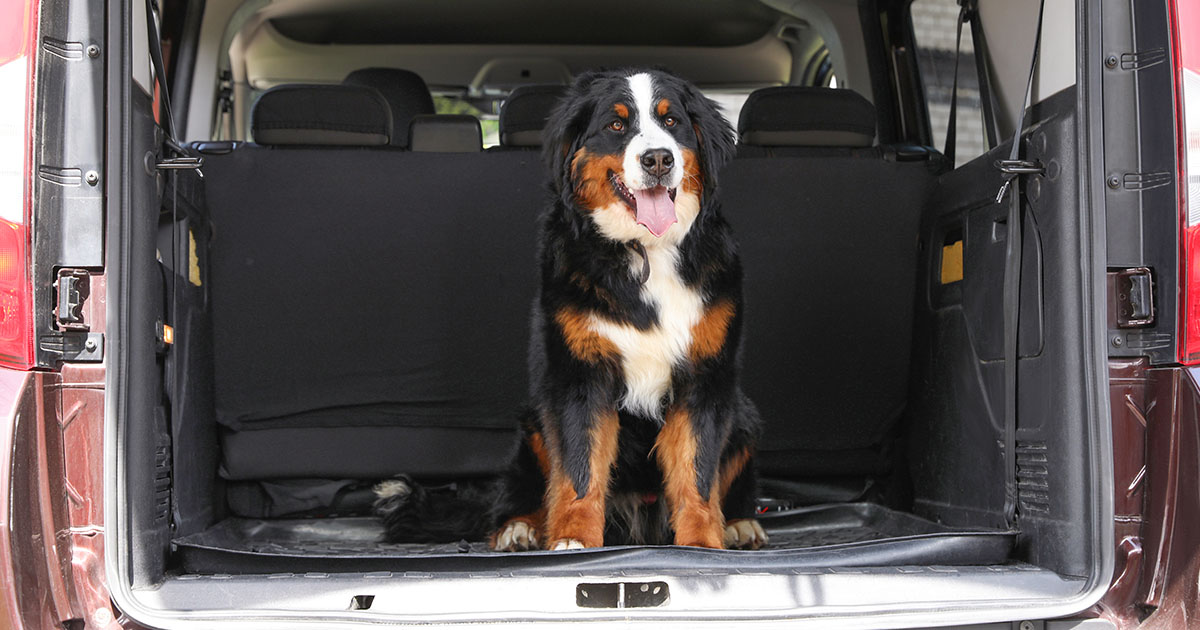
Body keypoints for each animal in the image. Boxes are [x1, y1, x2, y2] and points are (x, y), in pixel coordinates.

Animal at [374, 69, 768, 549]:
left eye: (672, 121)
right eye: (616, 125)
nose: (657, 159)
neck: (646, 253)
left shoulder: (705, 374)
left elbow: (697, 471)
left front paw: (702, 545)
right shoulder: (579, 374)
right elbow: (580, 467)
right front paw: (573, 539)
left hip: (744, 416)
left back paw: (740, 523)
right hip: (532, 423)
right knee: (517, 492)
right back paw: (519, 528)